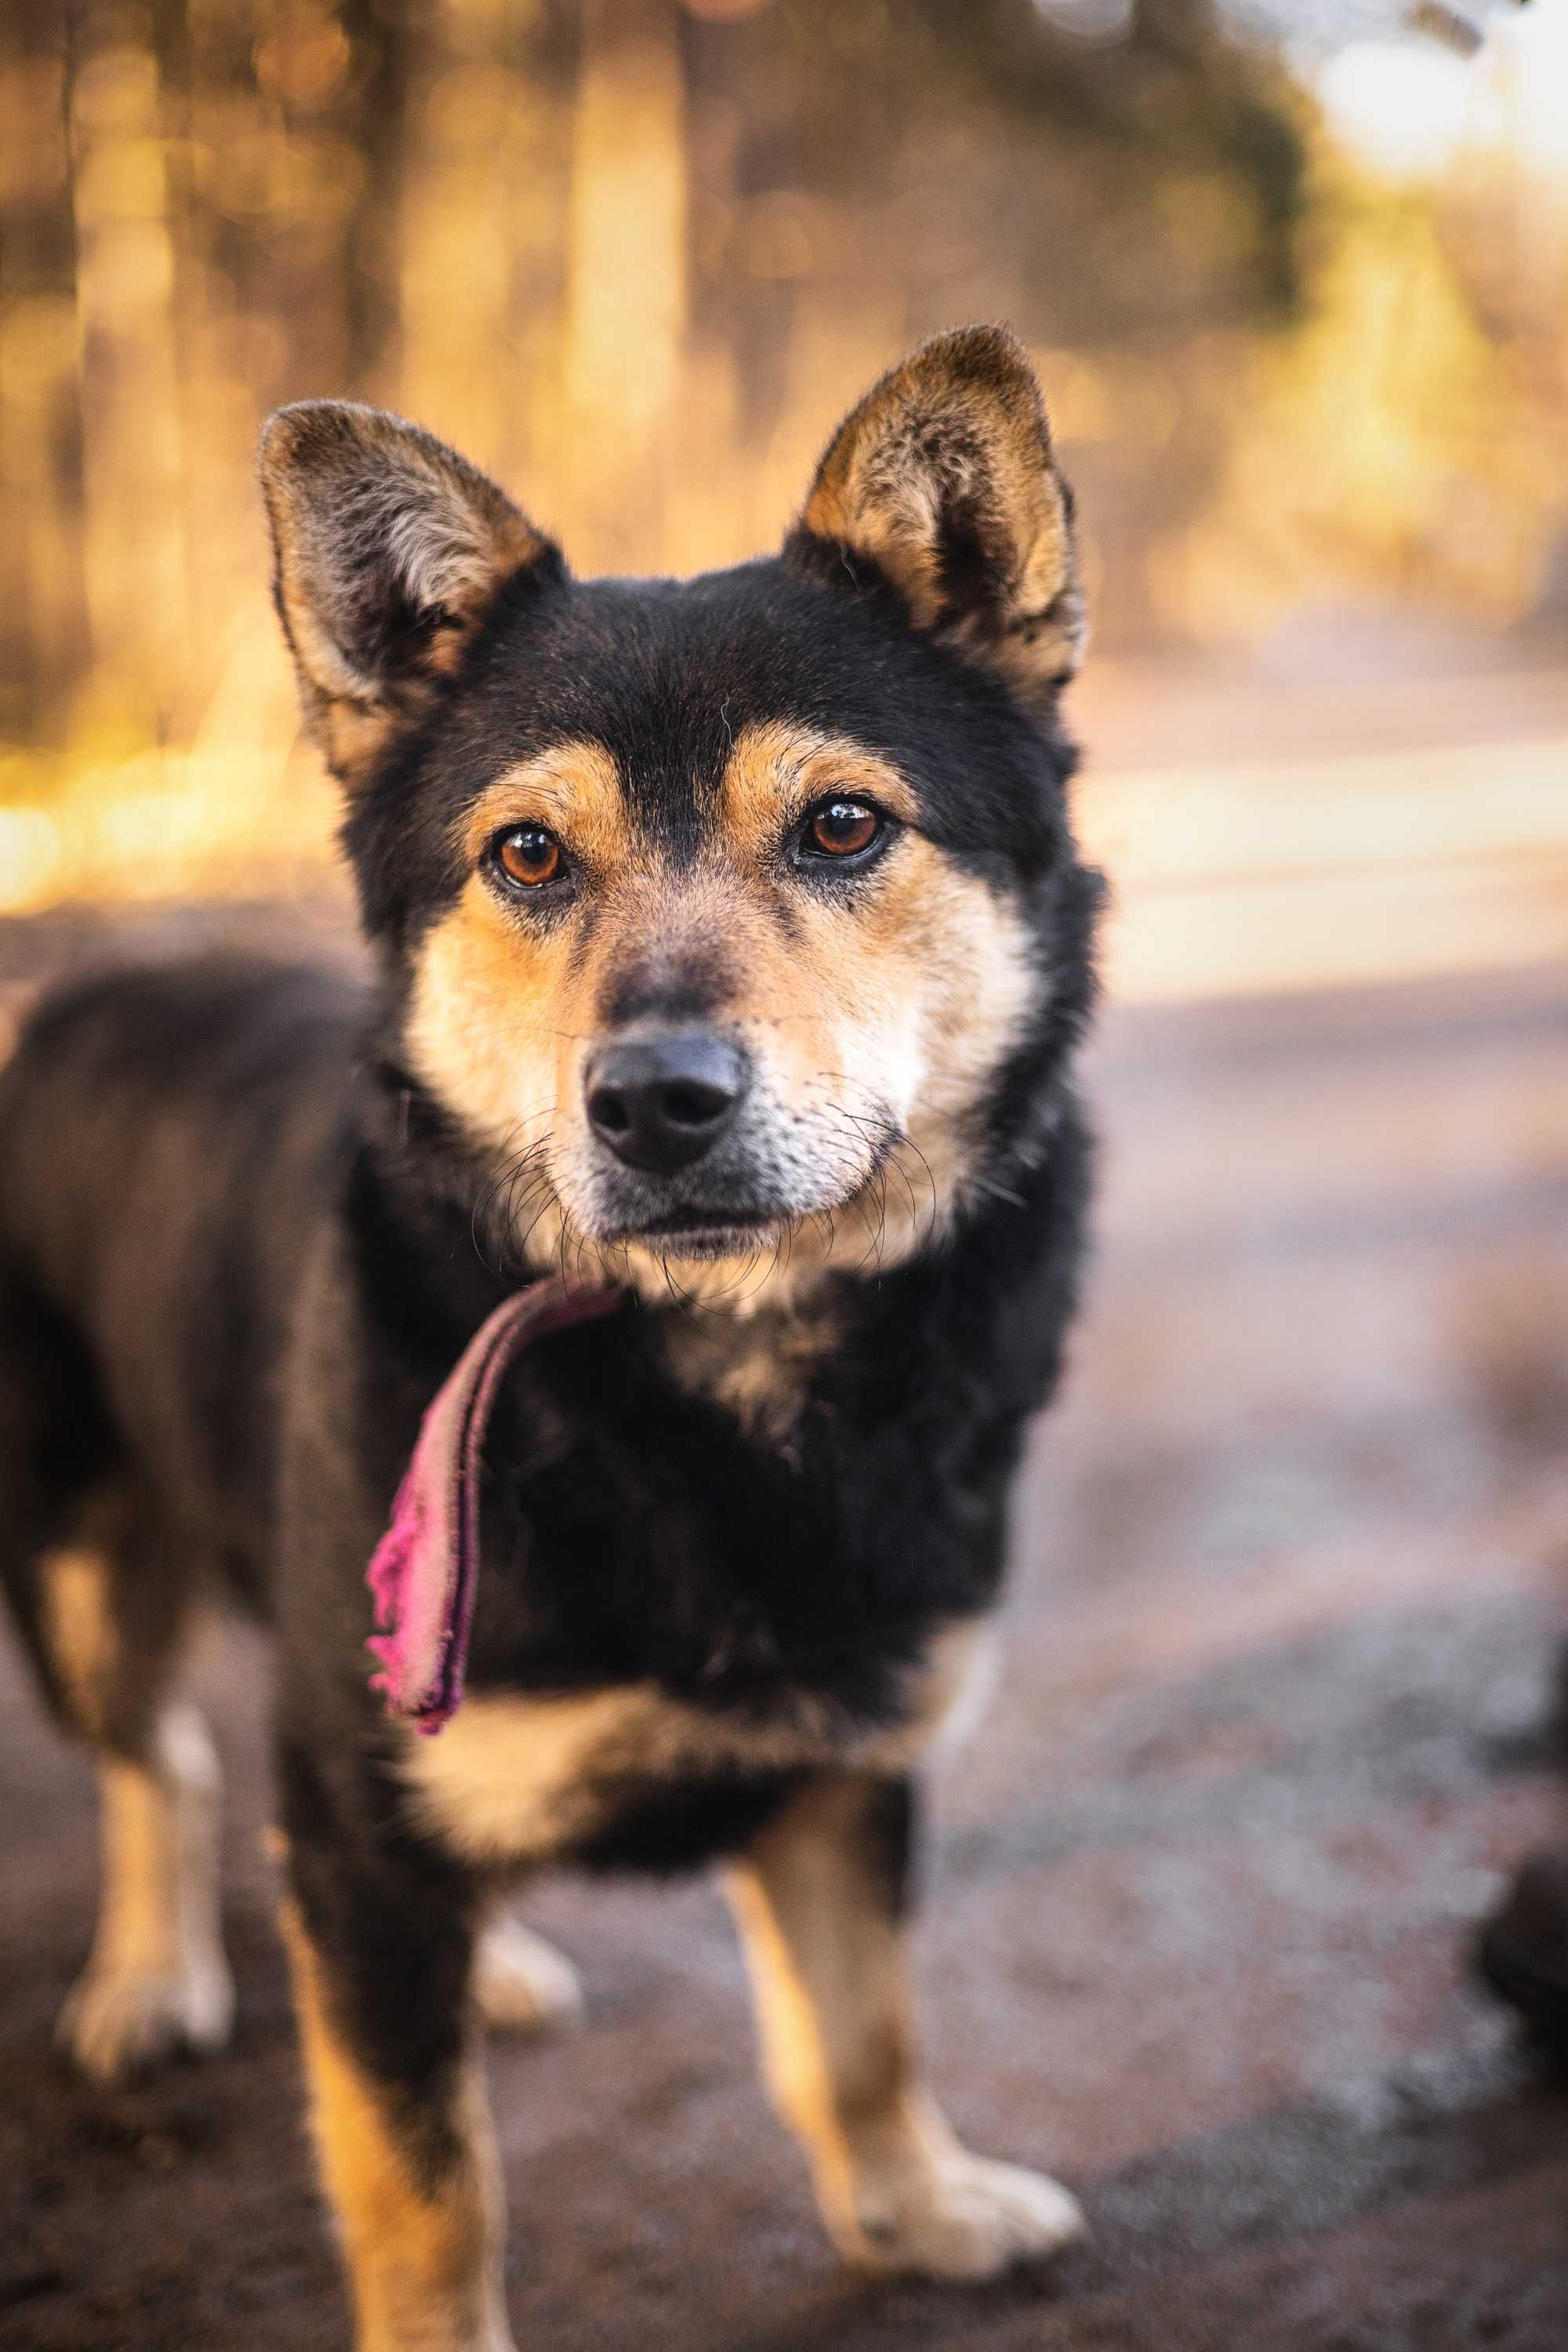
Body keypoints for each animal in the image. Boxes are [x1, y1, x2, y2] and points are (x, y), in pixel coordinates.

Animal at [0, 322, 1105, 2343]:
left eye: (843, 823)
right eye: (525, 855)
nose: (655, 1103)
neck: (720, 1370)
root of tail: (87, 991)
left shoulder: (847, 1756)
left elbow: (864, 2033)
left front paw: (915, 2213)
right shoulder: (362, 1841)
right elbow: (421, 2187)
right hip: (73, 1565)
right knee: (161, 1763)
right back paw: (150, 1976)